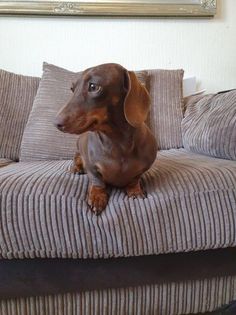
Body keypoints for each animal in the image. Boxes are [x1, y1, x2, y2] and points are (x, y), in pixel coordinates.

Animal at [55, 63, 157, 216]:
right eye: (72, 89)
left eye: (93, 86)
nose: (56, 123)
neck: (117, 143)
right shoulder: (91, 166)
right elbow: (97, 181)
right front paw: (97, 197)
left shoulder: (144, 167)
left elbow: (135, 178)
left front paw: (135, 190)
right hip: (78, 153)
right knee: (77, 160)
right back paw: (76, 168)